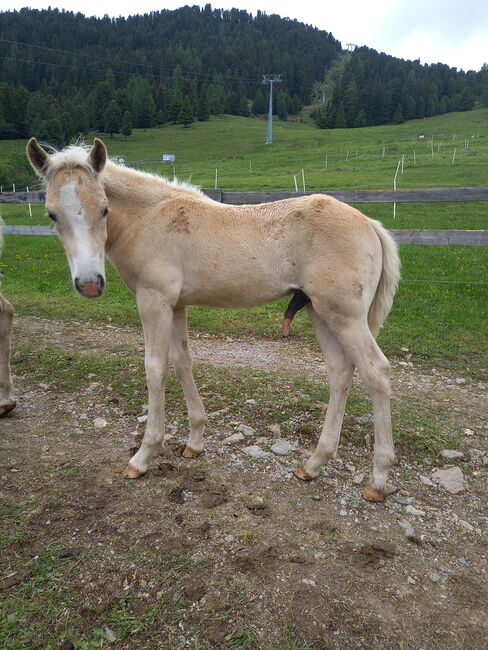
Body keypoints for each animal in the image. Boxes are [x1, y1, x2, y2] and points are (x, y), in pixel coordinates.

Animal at [25, 137, 400, 502]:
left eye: (104, 208)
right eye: (51, 214)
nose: (90, 284)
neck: (147, 218)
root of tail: (370, 224)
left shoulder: (154, 301)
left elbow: (155, 368)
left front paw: (144, 456)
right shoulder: (176, 306)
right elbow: (182, 362)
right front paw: (194, 441)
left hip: (344, 315)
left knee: (376, 372)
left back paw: (378, 479)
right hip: (319, 311)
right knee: (340, 372)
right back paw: (314, 463)